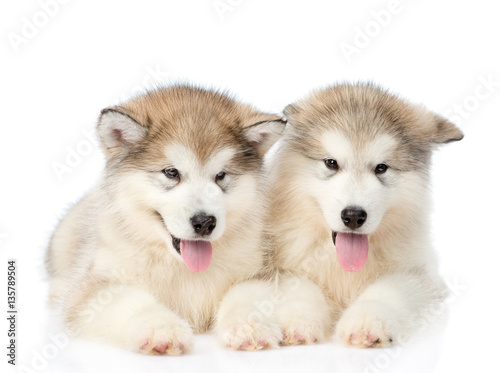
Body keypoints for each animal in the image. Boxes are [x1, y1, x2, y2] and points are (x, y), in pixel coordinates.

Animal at [46, 85, 286, 354]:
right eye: (171, 172)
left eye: (221, 175)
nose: (204, 222)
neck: (183, 268)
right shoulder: (96, 286)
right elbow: (132, 302)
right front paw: (160, 328)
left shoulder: (261, 271)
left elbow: (246, 293)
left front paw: (249, 325)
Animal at [268, 83, 462, 346]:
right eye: (331, 163)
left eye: (381, 168)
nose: (353, 216)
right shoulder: (283, 267)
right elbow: (302, 288)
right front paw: (300, 320)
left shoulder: (416, 274)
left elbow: (386, 290)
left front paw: (367, 320)